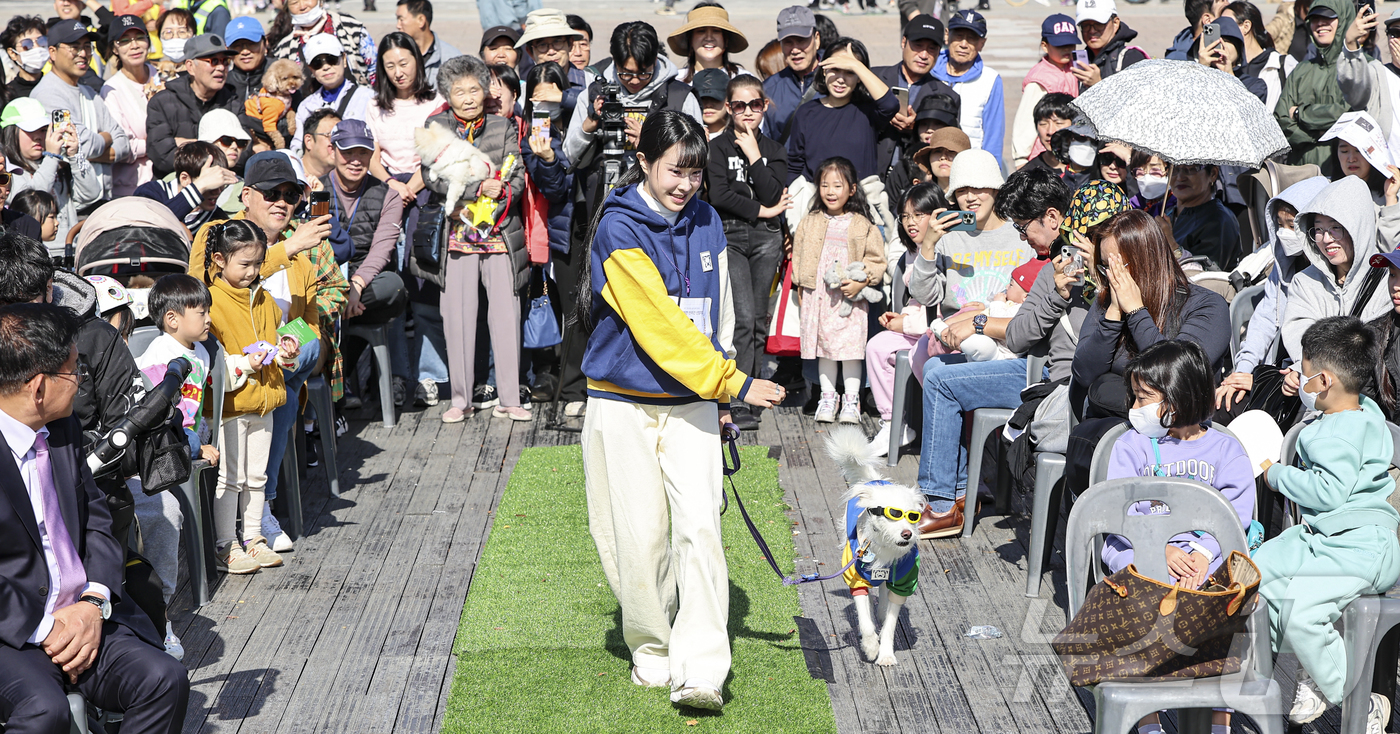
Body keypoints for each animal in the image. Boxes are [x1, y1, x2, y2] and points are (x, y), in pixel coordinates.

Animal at [823, 425, 924, 666]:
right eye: (893, 514)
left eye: (913, 516)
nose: (907, 534)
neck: (885, 548)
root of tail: (875, 482)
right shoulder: (855, 577)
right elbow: (865, 618)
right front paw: (870, 647)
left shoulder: (903, 584)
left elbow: (889, 626)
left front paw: (885, 654)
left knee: (884, 594)